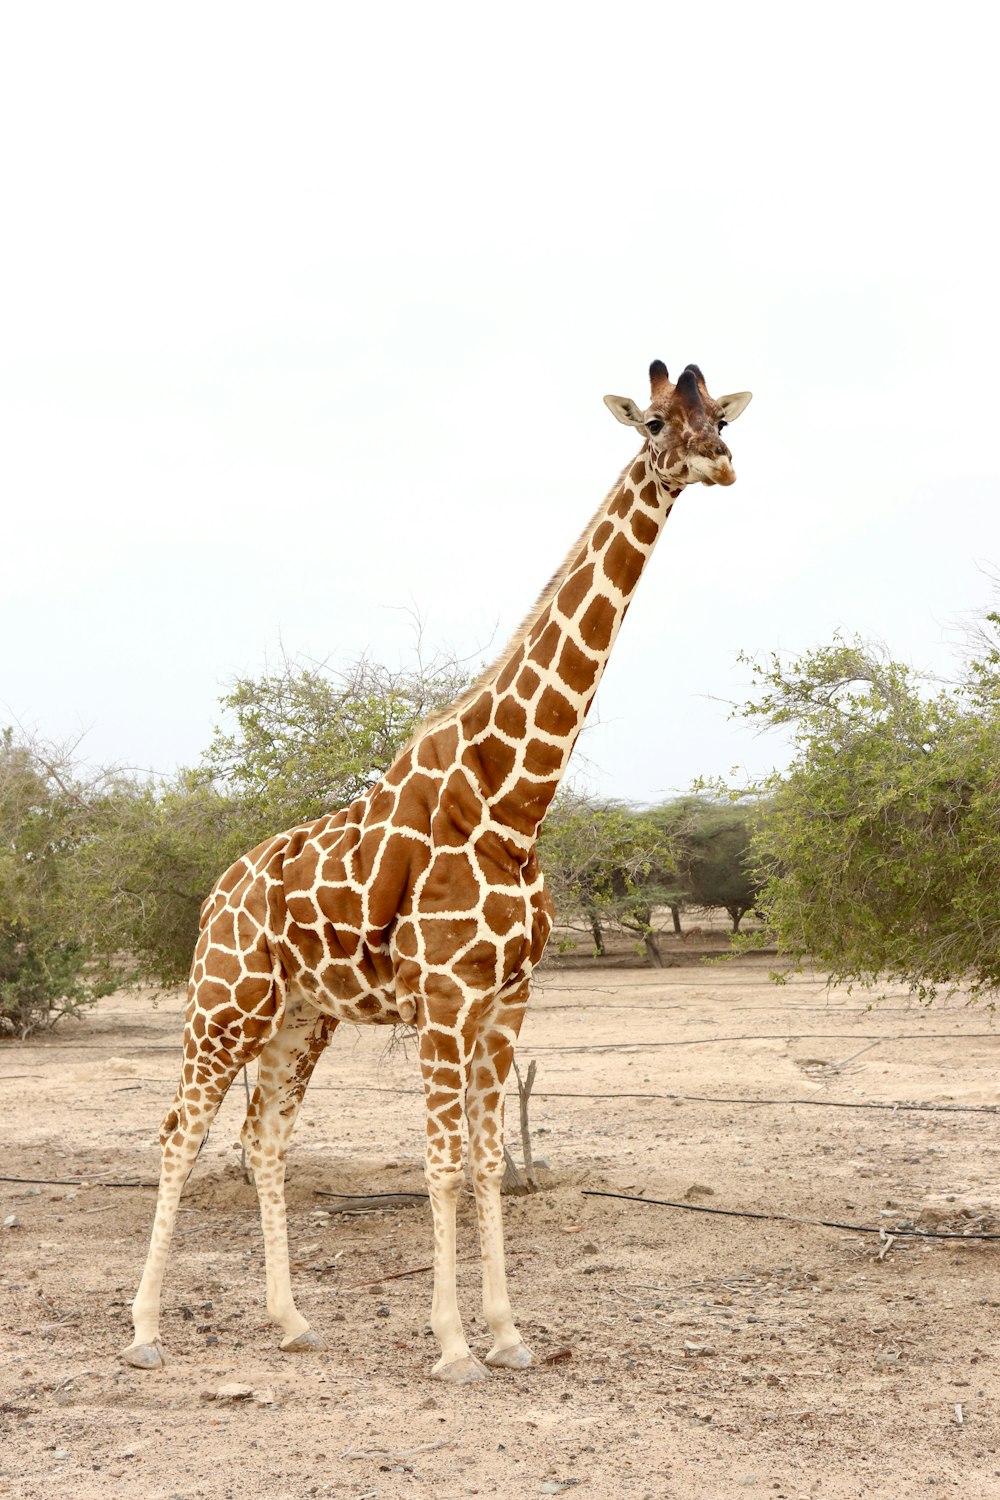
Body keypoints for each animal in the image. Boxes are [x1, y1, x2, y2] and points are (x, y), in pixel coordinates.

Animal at [122, 360, 749, 1380]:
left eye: (719, 416)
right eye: (656, 420)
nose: (717, 461)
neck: (512, 801)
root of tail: (218, 892)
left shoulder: (506, 1003)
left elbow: (490, 1160)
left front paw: (509, 1336)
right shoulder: (447, 1000)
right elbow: (444, 1162)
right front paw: (454, 1345)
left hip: (301, 1017)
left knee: (264, 1138)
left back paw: (290, 1320)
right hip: (223, 1003)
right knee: (180, 1131)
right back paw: (143, 1331)